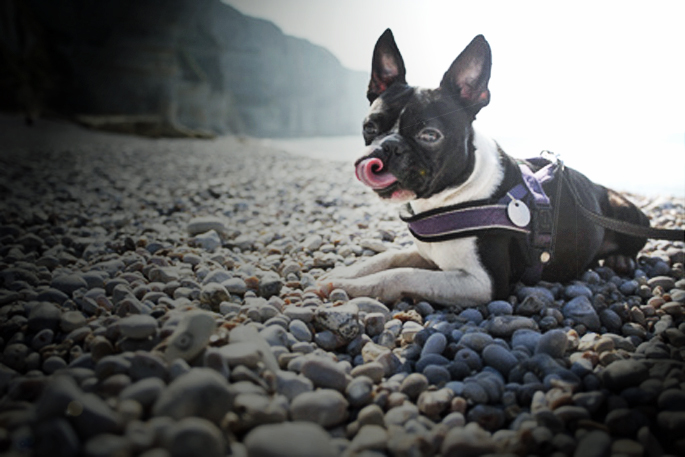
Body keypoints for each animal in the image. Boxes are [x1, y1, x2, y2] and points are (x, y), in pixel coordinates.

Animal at [318, 29, 648, 306]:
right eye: (369, 127)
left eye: (430, 136)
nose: (387, 147)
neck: (451, 197)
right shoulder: (428, 254)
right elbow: (387, 258)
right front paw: (342, 274)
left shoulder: (483, 283)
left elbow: (400, 274)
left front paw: (348, 287)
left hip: (627, 211)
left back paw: (622, 260)